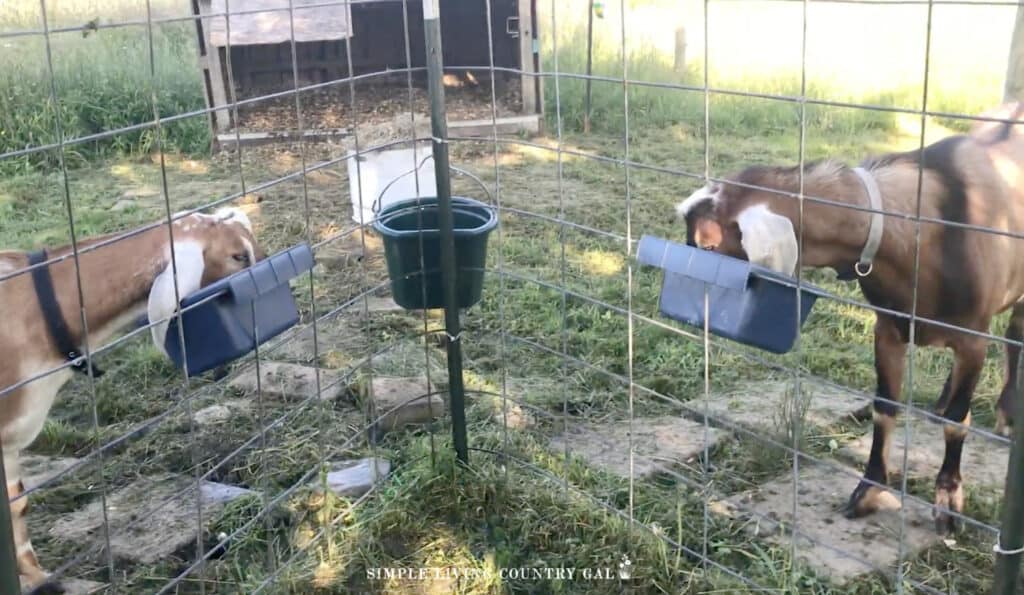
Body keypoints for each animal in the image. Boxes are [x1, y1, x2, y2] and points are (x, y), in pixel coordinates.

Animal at [675, 101, 1024, 532]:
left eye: (708, 243)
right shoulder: (888, 328)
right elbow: (884, 407)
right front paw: (868, 491)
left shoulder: (973, 336)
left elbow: (959, 421)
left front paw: (948, 503)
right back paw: (943, 400)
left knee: (1014, 336)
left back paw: (1006, 413)